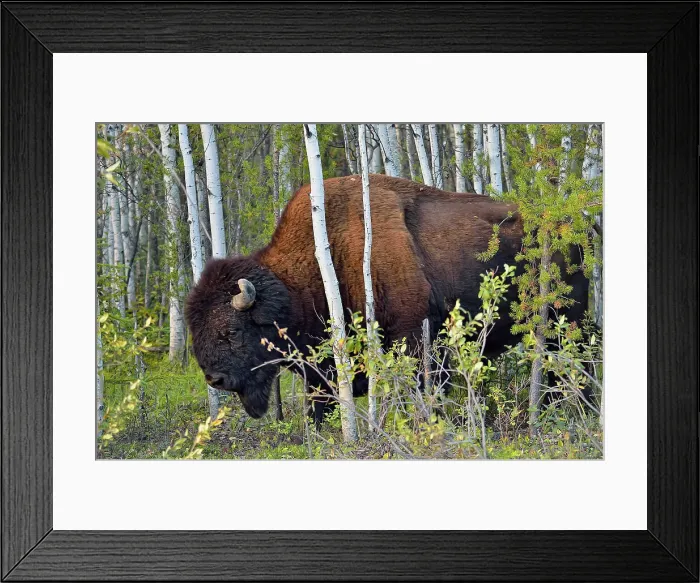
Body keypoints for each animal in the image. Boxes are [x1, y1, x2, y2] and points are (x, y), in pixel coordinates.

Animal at [185, 174, 589, 422]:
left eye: (232, 331)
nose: (215, 379)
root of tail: (578, 221)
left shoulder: (413, 337)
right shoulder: (321, 373)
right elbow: (319, 408)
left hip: (568, 319)